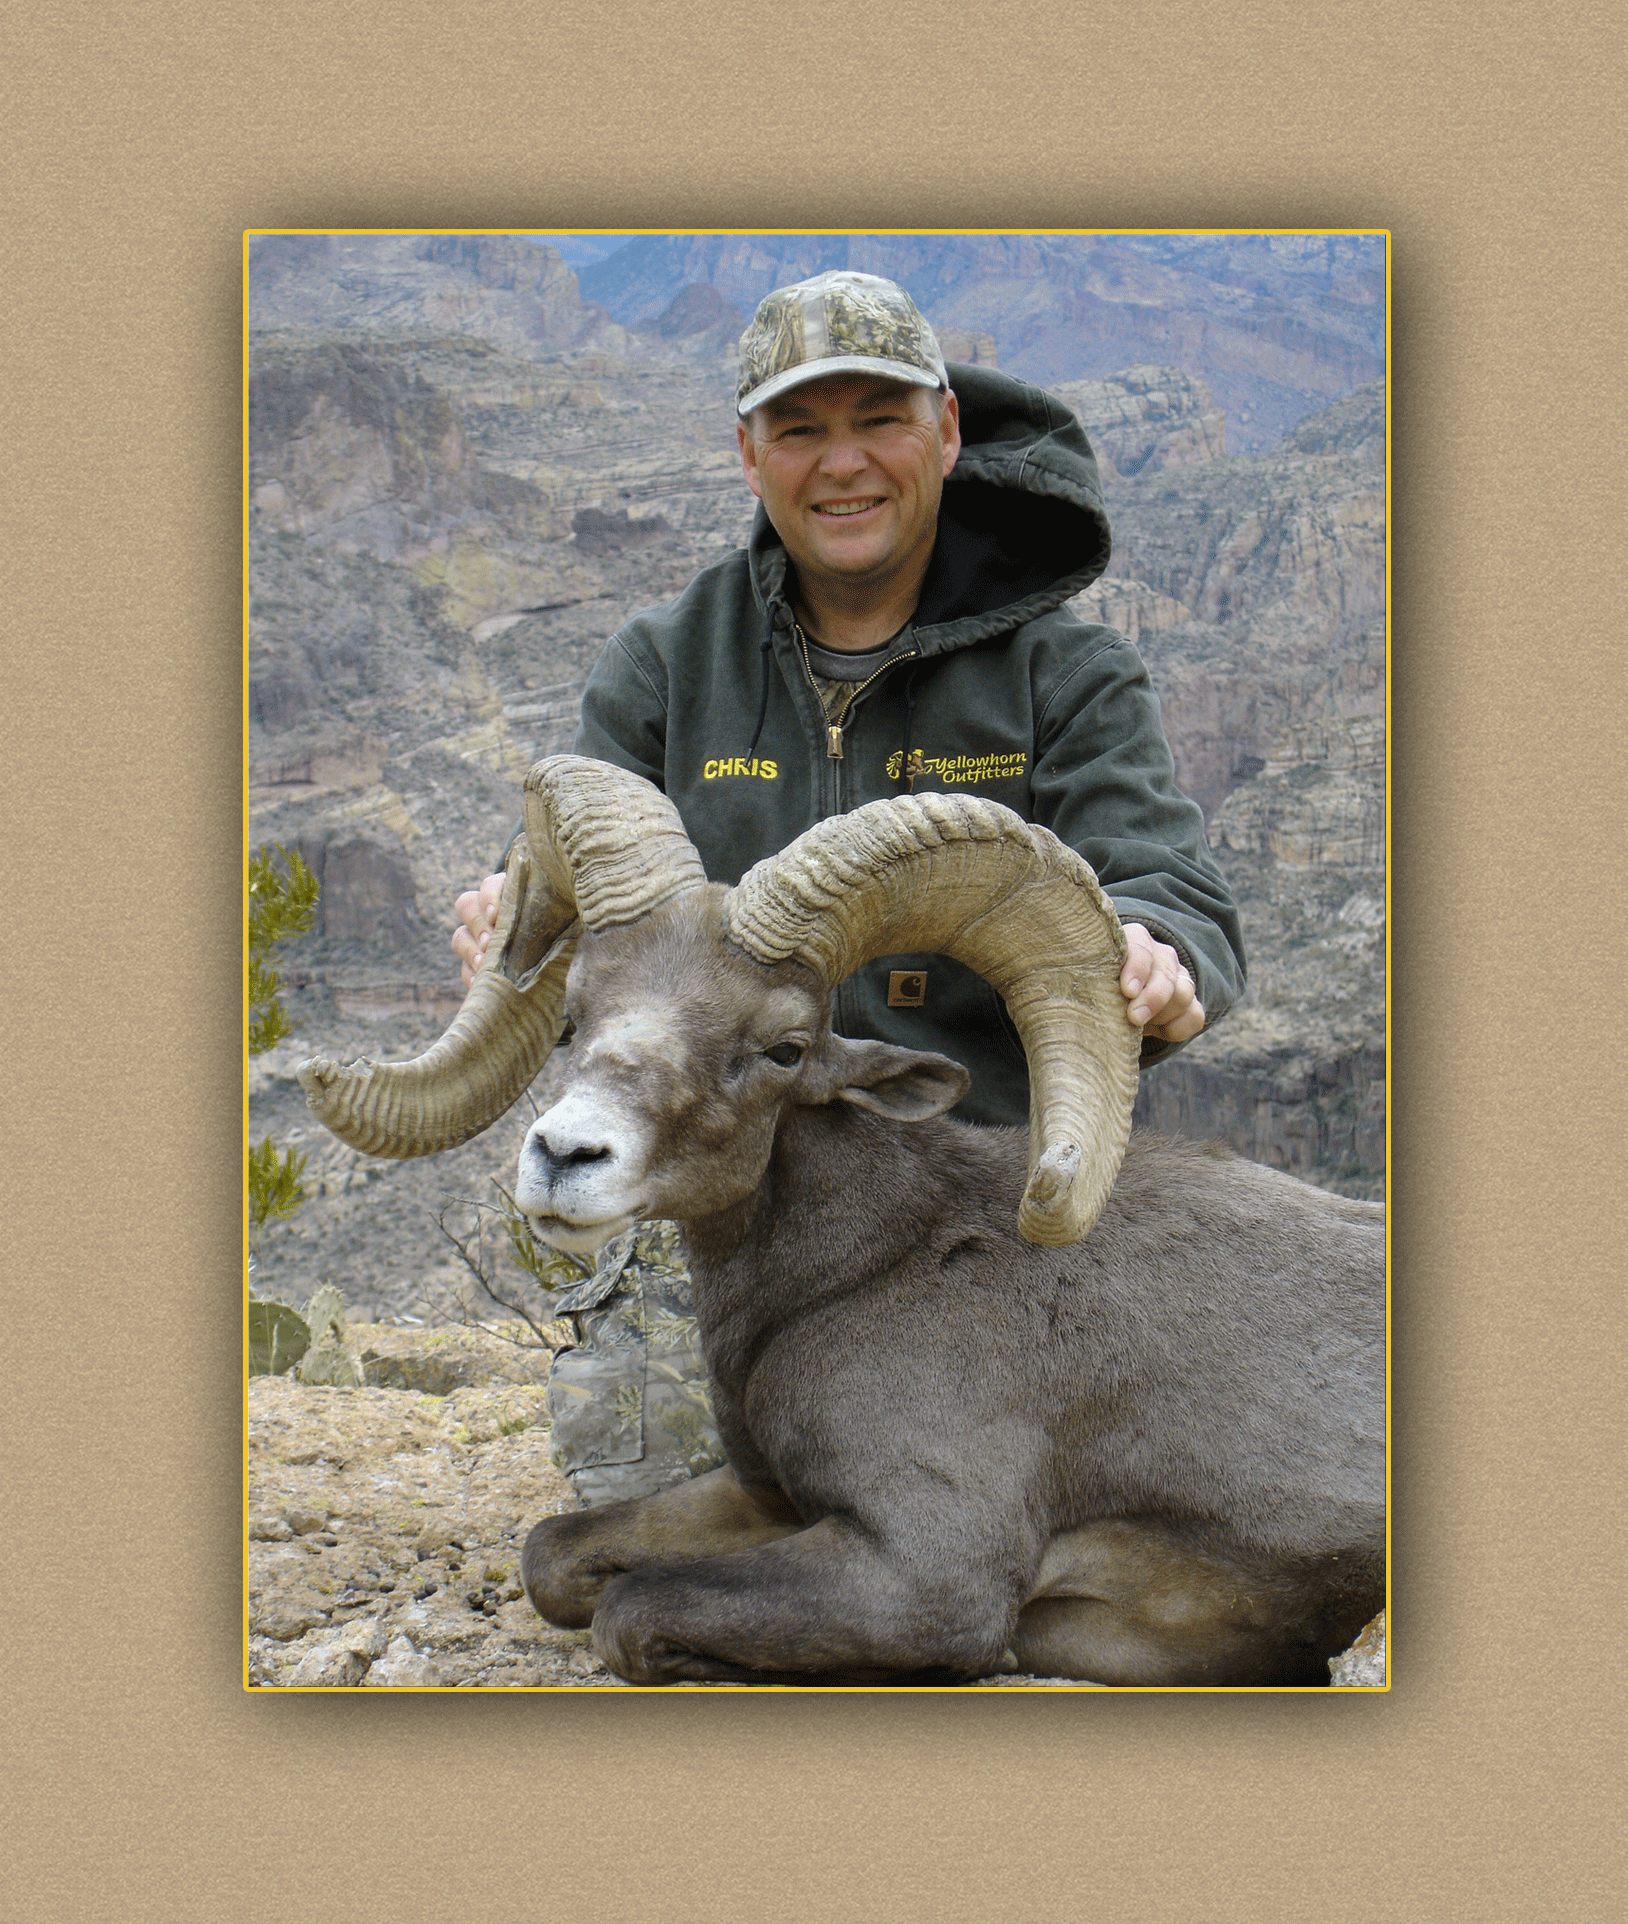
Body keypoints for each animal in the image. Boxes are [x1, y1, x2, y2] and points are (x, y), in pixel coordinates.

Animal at [298, 755, 1385, 1688]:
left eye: (782, 1046)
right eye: (573, 1017)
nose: (565, 1158)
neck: (866, 1268)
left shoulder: (921, 1574)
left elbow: (628, 1613)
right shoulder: (761, 1496)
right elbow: (552, 1557)